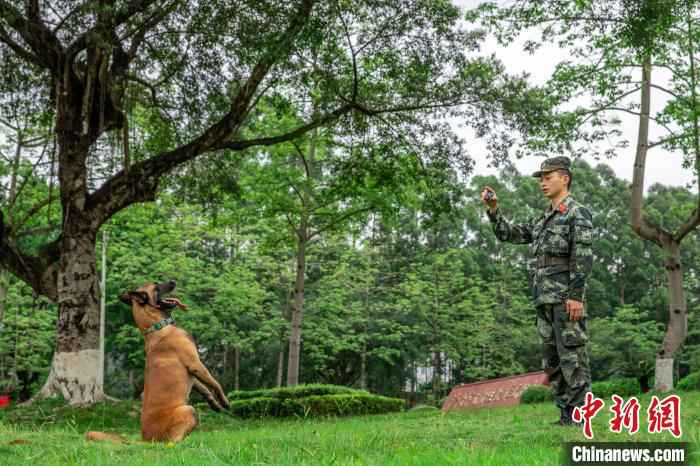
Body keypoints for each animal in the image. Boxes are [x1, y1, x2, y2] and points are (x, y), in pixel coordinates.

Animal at [87, 278, 230, 442]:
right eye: (156, 287)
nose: (173, 281)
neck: (157, 327)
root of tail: (145, 438)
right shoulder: (195, 364)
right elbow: (215, 383)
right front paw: (224, 401)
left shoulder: (192, 372)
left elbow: (203, 388)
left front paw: (214, 403)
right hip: (187, 410)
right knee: (173, 441)